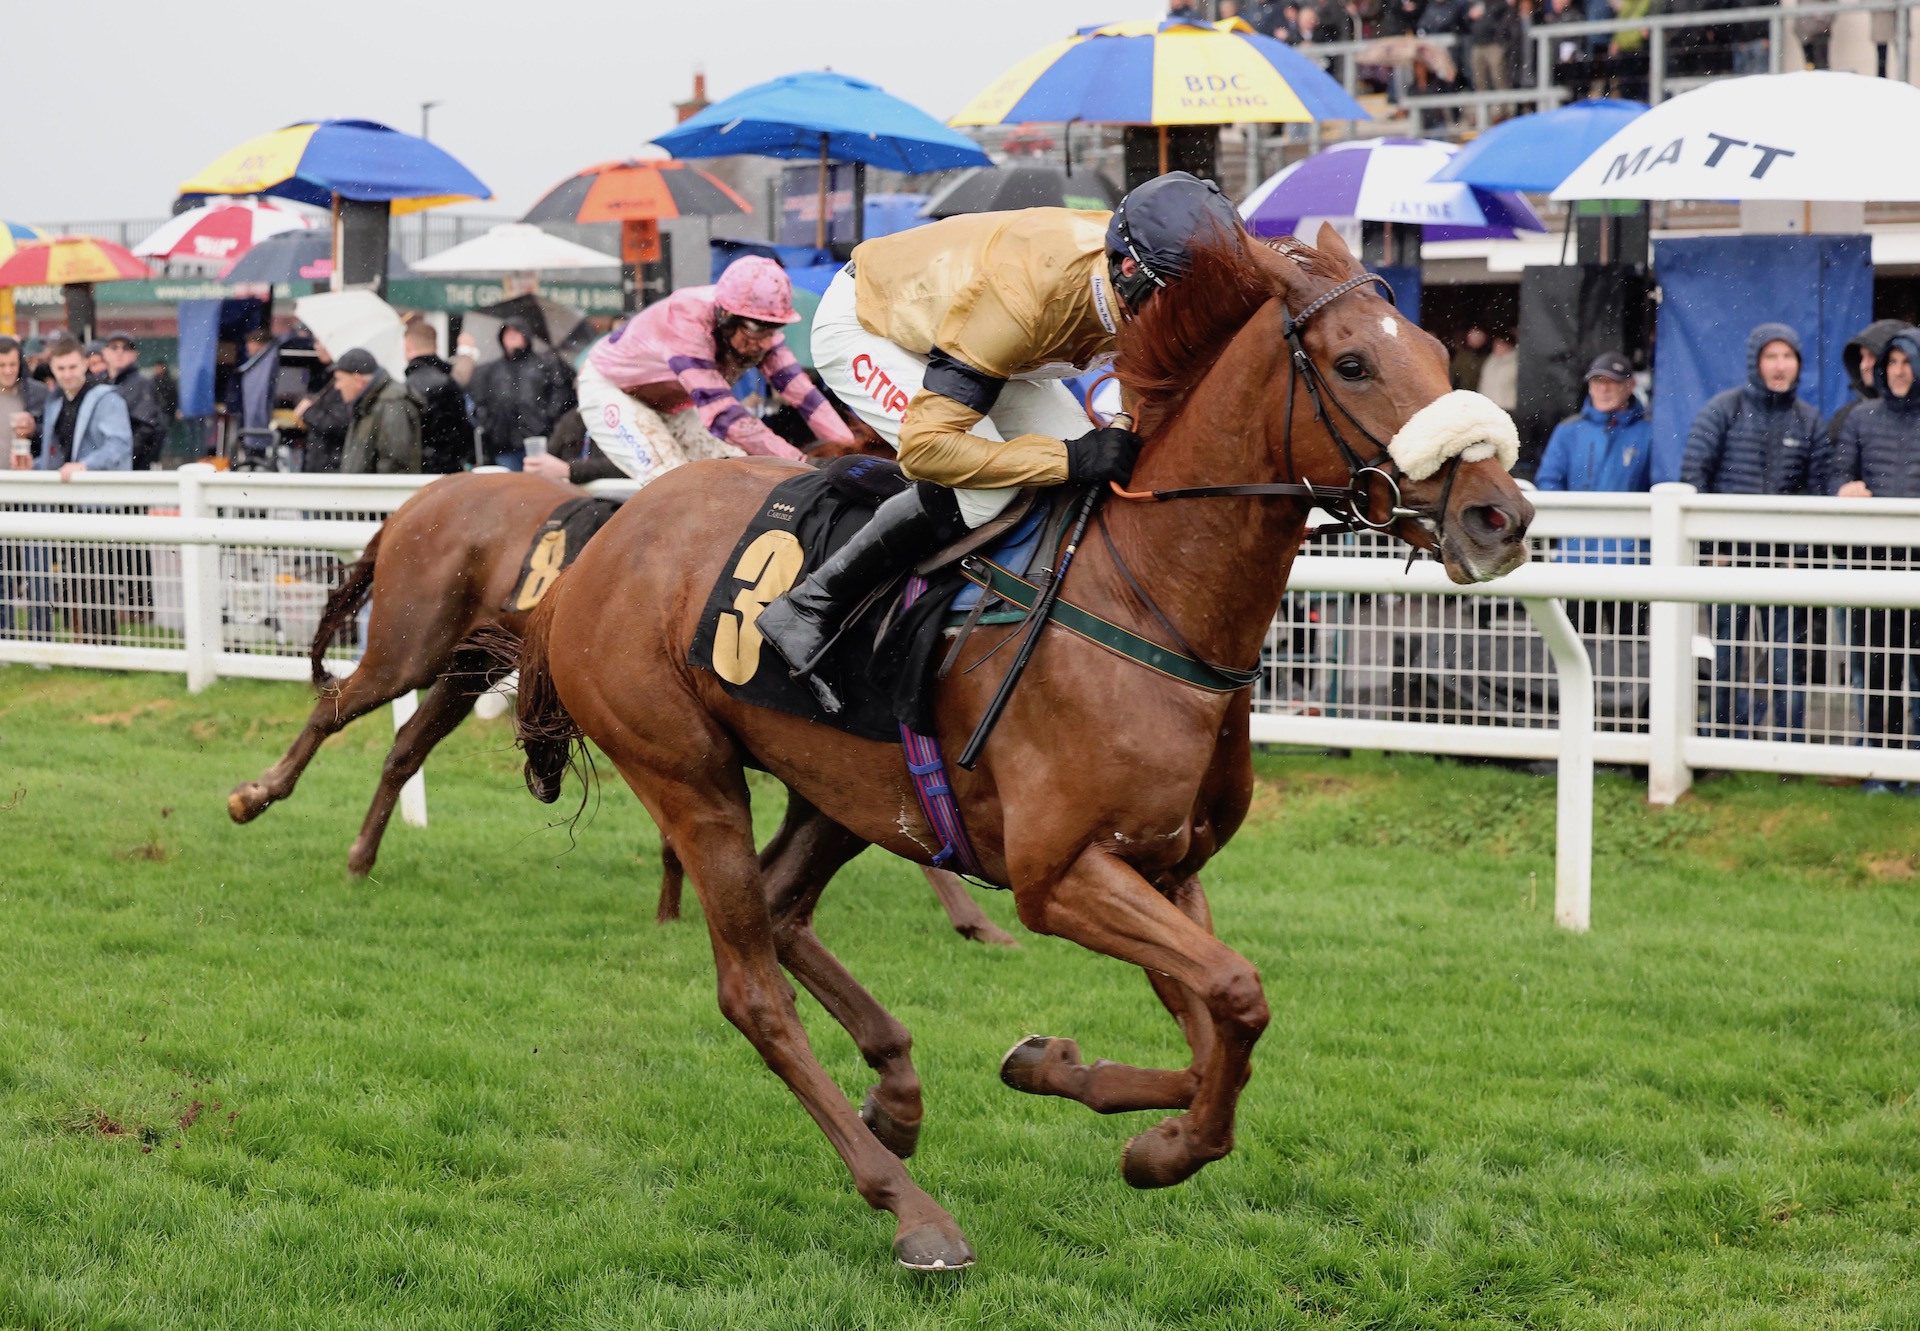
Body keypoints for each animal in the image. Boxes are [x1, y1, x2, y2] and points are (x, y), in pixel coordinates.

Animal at [228, 466, 1021, 944]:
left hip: (469, 665)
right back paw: (255, 795)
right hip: (410, 645)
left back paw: (361, 857)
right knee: (334, 705)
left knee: (404, 748)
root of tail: (417, 500)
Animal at [518, 225, 1536, 1267]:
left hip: (846, 787)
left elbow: (1216, 1036)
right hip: (690, 777)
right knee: (752, 990)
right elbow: (1239, 992)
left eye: (1434, 348)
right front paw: (1160, 1150)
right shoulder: (1061, 874)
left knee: (782, 906)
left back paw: (897, 1095)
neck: (1148, 599)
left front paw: (1065, 1073)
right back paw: (912, 1209)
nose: (1501, 515)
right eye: (1353, 362)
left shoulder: (1165, 868)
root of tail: (607, 541)